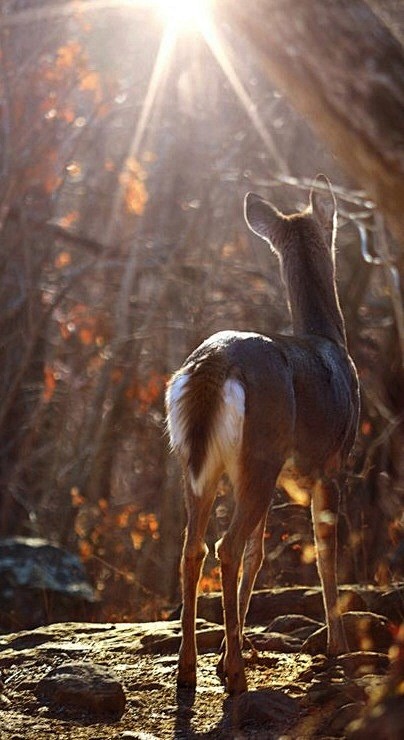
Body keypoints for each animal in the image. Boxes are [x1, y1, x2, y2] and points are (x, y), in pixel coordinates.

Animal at [165, 176, 360, 696]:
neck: (330, 340)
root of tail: (213, 363)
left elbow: (259, 553)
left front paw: (224, 650)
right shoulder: (333, 462)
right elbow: (324, 551)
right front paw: (336, 646)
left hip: (201, 464)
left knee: (193, 548)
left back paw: (190, 669)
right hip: (261, 452)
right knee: (226, 547)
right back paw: (236, 674)